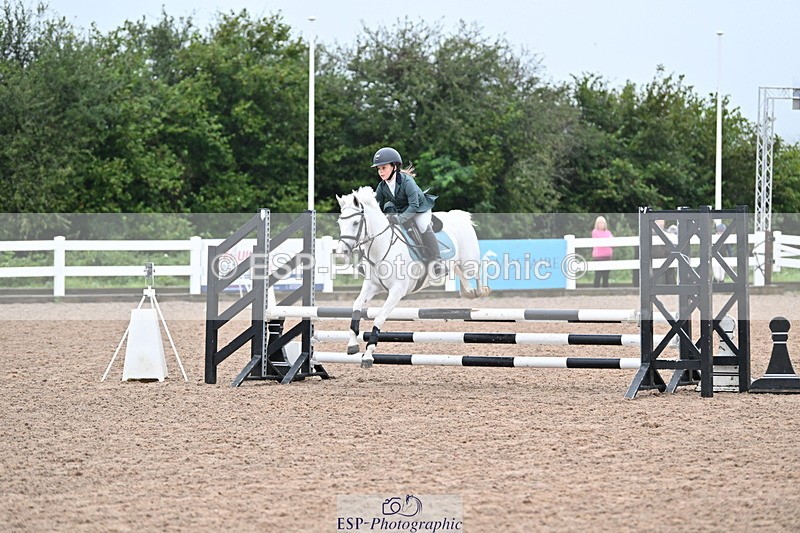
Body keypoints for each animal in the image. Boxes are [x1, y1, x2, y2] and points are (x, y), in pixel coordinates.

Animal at [335, 186, 491, 368]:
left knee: (478, 270)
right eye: (340, 223)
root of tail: (458, 215)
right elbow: (356, 306)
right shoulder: (372, 286)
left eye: (355, 223)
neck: (381, 247)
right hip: (456, 263)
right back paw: (468, 292)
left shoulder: (396, 291)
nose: (341, 252)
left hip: (468, 261)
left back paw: (480, 291)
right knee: (459, 271)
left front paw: (368, 355)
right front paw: (352, 344)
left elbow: (379, 318)